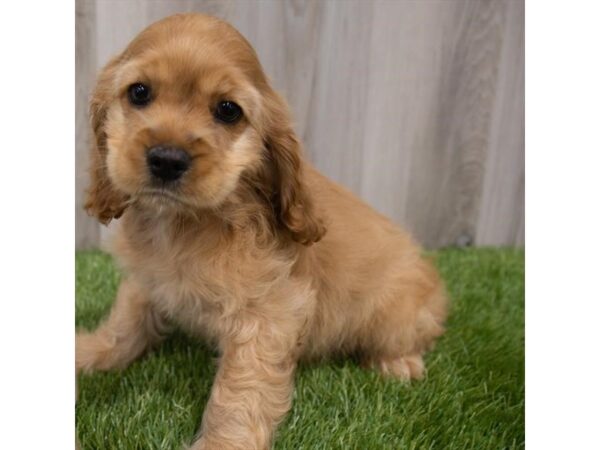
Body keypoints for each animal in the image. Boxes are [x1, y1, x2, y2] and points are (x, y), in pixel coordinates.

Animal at [75, 13, 448, 450]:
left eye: (227, 110)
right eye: (138, 92)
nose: (167, 159)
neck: (185, 224)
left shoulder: (268, 314)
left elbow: (239, 394)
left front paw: (223, 444)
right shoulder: (147, 282)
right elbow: (125, 326)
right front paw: (88, 352)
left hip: (396, 313)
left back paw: (399, 362)